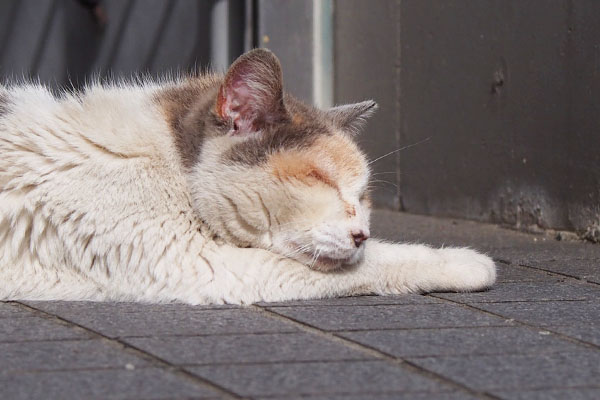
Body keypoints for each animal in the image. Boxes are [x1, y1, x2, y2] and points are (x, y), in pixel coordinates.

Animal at [0, 48, 496, 304]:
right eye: (319, 179)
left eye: (363, 196)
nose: (362, 233)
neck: (170, 164)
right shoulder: (197, 264)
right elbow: (377, 263)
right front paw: (467, 262)